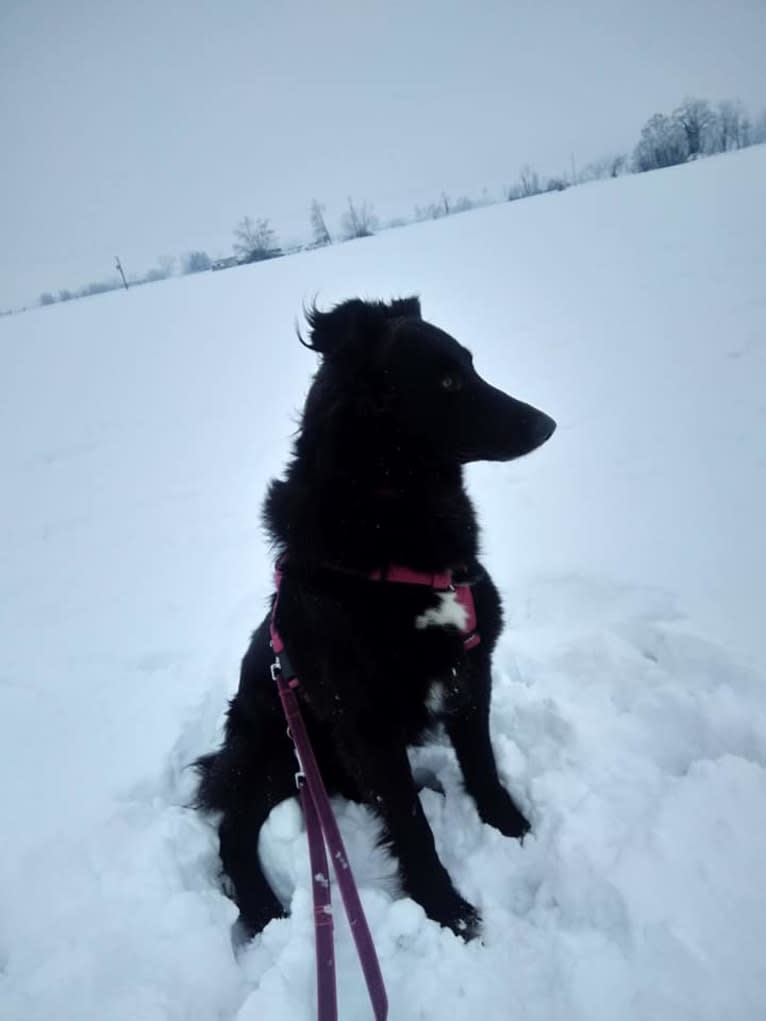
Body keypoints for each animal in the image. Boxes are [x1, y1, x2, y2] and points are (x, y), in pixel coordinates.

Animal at [196, 296, 559, 939]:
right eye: (446, 381)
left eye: (471, 365)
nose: (547, 425)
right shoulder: (365, 716)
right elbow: (412, 826)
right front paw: (448, 911)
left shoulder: (471, 668)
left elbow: (482, 765)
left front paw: (511, 827)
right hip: (276, 749)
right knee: (233, 828)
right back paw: (263, 910)